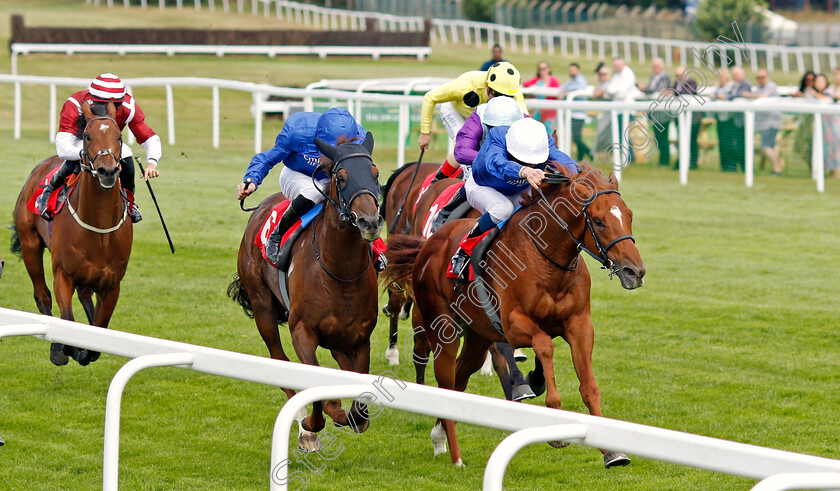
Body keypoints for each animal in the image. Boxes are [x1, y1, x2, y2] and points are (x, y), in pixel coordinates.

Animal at [10, 102, 132, 368]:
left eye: (119, 136)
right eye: (88, 136)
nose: (107, 171)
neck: (99, 230)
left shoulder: (112, 284)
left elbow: (99, 329)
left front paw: (85, 350)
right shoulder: (63, 275)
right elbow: (66, 319)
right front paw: (65, 349)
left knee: (85, 295)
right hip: (30, 245)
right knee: (42, 295)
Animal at [231, 133, 386, 452]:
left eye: (376, 174)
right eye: (341, 177)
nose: (370, 222)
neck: (340, 273)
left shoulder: (359, 339)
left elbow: (359, 407)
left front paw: (347, 413)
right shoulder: (302, 331)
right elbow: (315, 385)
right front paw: (316, 422)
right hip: (262, 307)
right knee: (280, 361)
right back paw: (306, 428)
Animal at [384, 163, 648, 468]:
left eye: (629, 215)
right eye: (599, 220)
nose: (635, 271)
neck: (548, 260)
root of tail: (427, 246)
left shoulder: (580, 324)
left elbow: (588, 385)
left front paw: (611, 451)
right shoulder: (512, 325)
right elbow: (544, 344)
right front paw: (554, 421)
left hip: (477, 337)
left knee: (459, 378)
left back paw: (439, 436)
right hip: (443, 328)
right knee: (445, 378)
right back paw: (455, 455)